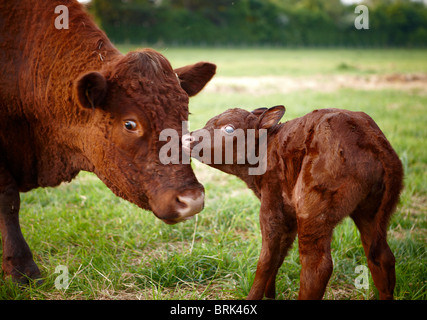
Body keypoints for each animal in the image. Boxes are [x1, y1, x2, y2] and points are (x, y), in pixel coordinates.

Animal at [185, 106, 404, 298]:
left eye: (229, 128)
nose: (188, 138)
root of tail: (374, 140)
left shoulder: (271, 204)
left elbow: (266, 260)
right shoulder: (288, 214)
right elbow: (280, 254)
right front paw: (271, 295)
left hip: (313, 209)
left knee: (317, 267)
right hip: (370, 212)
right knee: (381, 258)